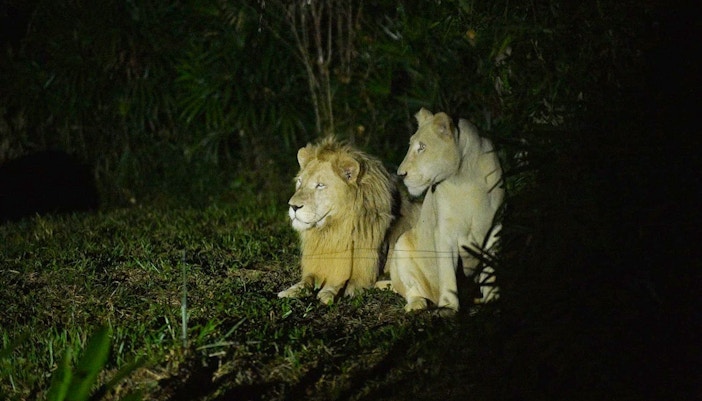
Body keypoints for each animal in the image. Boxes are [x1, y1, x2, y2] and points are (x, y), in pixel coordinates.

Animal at [278, 136, 417, 304]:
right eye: (300, 181)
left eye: (320, 185)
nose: (293, 206)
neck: (332, 230)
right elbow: (306, 280)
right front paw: (290, 290)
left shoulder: (363, 274)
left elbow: (339, 281)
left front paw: (328, 293)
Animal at [381, 108, 504, 314]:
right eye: (411, 146)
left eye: (422, 147)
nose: (400, 174)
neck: (466, 178)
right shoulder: (444, 233)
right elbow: (447, 272)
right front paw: (448, 307)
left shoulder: (495, 228)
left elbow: (491, 270)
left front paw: (493, 300)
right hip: (402, 245)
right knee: (411, 290)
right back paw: (417, 304)